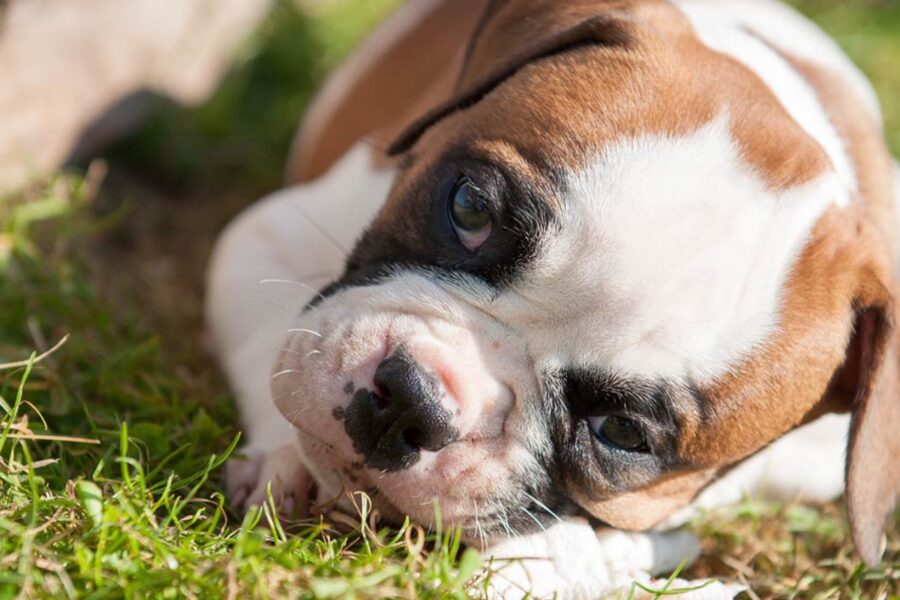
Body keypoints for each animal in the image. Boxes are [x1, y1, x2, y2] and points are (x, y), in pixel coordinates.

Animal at [206, 0, 900, 596]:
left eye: (622, 431)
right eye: (470, 207)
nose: (411, 402)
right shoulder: (264, 237)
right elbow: (275, 330)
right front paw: (284, 459)